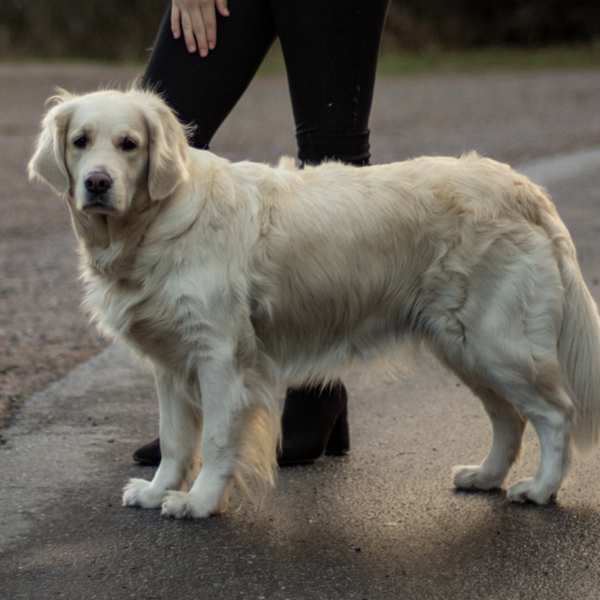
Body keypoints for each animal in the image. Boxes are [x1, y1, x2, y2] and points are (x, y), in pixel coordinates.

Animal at [29, 86, 600, 516]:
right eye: (80, 141)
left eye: (129, 144)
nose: (97, 183)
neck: (154, 226)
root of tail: (523, 185)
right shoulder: (170, 362)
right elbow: (174, 439)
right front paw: (155, 490)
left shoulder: (220, 357)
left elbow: (215, 440)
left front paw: (199, 502)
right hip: (462, 346)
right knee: (510, 418)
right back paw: (485, 476)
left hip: (497, 344)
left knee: (555, 414)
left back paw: (540, 490)